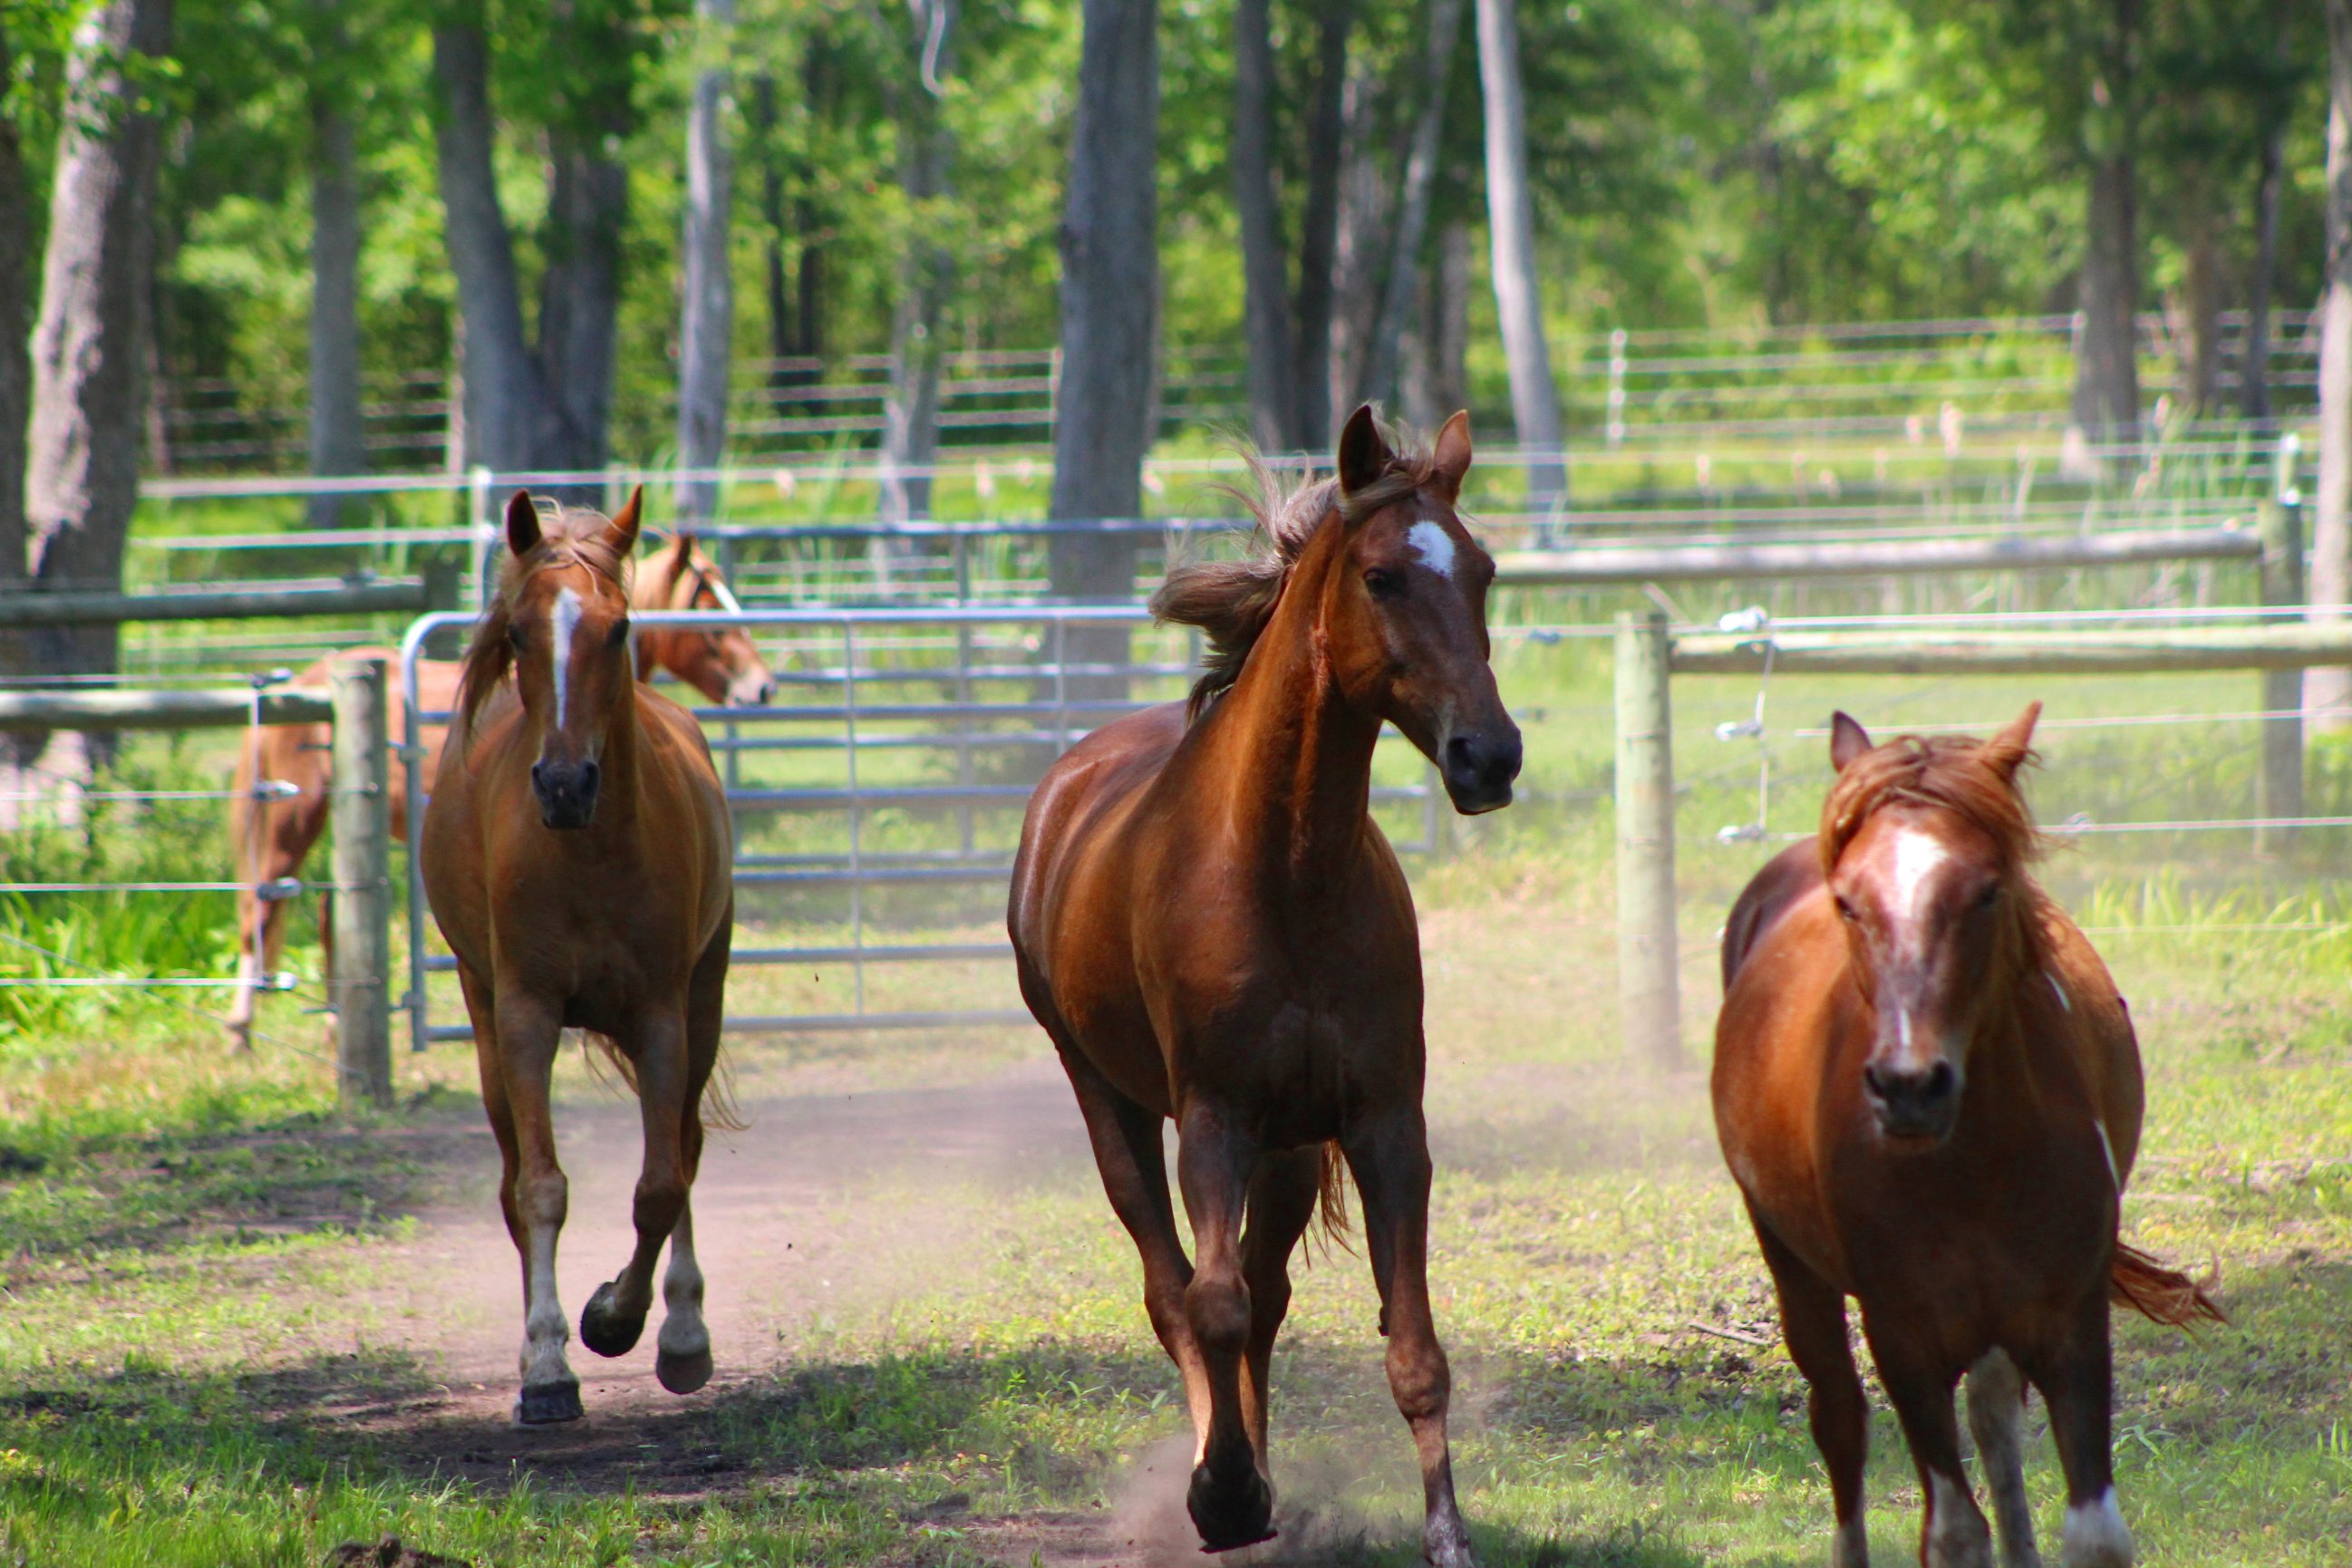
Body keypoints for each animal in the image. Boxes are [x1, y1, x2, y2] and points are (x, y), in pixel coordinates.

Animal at [224, 531, 771, 1052]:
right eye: (711, 614)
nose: (763, 687)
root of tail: (303, 684)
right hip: (293, 819)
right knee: (261, 908)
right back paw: (241, 1031)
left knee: (327, 917)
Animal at [421, 486, 733, 1419]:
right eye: (520, 634)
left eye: (621, 627)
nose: (563, 786)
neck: (587, 853)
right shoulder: (525, 1017)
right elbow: (541, 1188)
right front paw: (550, 1364)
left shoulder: (664, 1016)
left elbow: (661, 1184)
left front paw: (621, 1321)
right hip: (488, 1022)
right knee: (514, 1180)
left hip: (701, 1007)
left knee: (682, 1149)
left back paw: (681, 1327)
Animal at [1002, 411, 1515, 1561]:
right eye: (1381, 575)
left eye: (1484, 572)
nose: (1489, 755)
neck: (1285, 873)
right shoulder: (1216, 1120)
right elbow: (1212, 1303)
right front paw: (1223, 1491)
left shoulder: (1382, 1122)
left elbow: (1411, 1345)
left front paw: (1447, 1531)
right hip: (1111, 1100)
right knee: (1175, 1289)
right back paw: (1224, 1482)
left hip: (1287, 1148)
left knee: (1265, 1294)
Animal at [1721, 710, 2211, 1568]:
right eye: (1848, 903)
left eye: (1986, 891)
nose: (1909, 1085)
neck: (1973, 1164)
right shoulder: (1903, 1338)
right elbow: (1953, 1531)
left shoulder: (2069, 1323)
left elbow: (2092, 1533)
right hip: (1794, 1268)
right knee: (1839, 1420)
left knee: (1990, 1418)